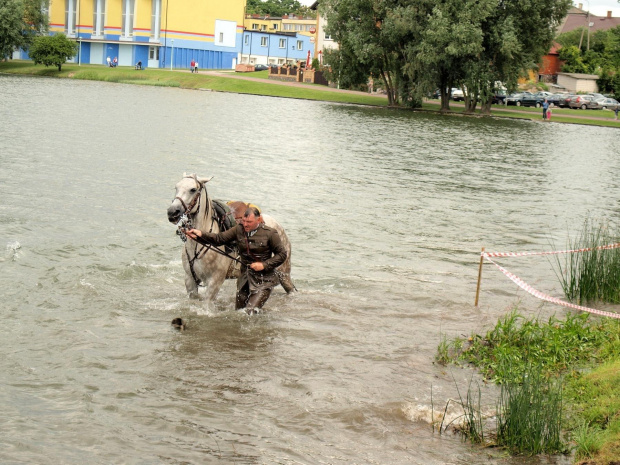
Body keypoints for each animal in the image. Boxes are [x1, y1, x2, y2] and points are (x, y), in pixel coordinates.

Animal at [166, 173, 294, 300]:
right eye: (176, 187)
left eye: (193, 189)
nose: (172, 212)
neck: (199, 246)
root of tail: (278, 226)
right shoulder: (190, 281)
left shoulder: (215, 282)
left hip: (284, 273)